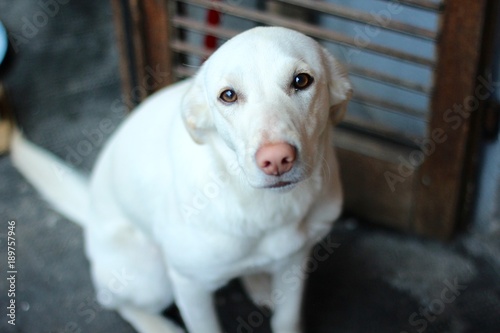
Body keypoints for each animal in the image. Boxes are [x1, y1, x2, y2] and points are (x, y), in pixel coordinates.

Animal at [8, 26, 352, 332]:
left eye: (301, 80)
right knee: (116, 302)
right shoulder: (189, 286)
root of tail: (91, 211)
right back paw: (159, 326)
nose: (277, 159)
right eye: (228, 95)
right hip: (152, 277)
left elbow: (287, 319)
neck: (265, 207)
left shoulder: (296, 262)